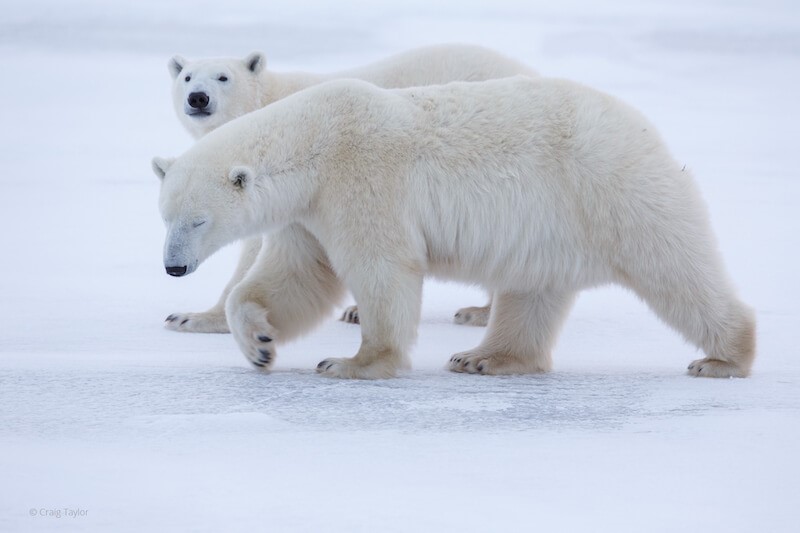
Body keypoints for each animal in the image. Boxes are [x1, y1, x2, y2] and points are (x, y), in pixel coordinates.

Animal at [153, 76, 756, 380]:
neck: (315, 142)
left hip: (612, 189)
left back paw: (724, 356)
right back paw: (485, 357)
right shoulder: (310, 212)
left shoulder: (361, 178)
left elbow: (381, 266)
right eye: (164, 216)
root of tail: (647, 129)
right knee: (535, 290)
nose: (174, 267)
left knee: (674, 267)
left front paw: (352, 362)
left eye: (198, 219)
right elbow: (297, 275)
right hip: (552, 224)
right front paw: (258, 342)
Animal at [165, 44, 535, 333]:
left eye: (223, 77)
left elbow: (255, 248)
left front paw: (194, 318)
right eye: (187, 77)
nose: (198, 98)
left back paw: (479, 312)